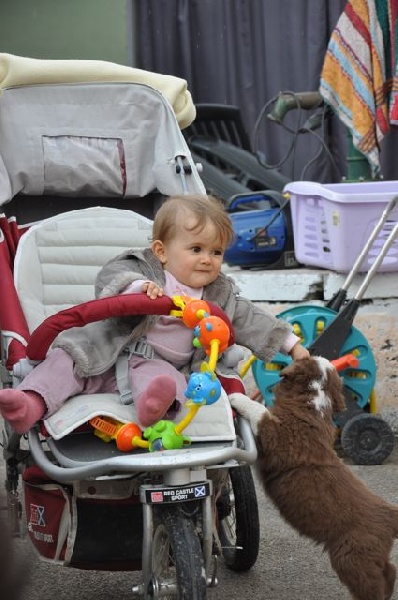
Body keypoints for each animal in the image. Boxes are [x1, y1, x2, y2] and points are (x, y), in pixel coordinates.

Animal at [229, 356, 398, 600]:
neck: (314, 401)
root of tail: (389, 514)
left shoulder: (279, 437)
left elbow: (261, 412)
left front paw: (235, 396)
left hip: (352, 558)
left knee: (373, 587)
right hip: (372, 555)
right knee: (390, 571)